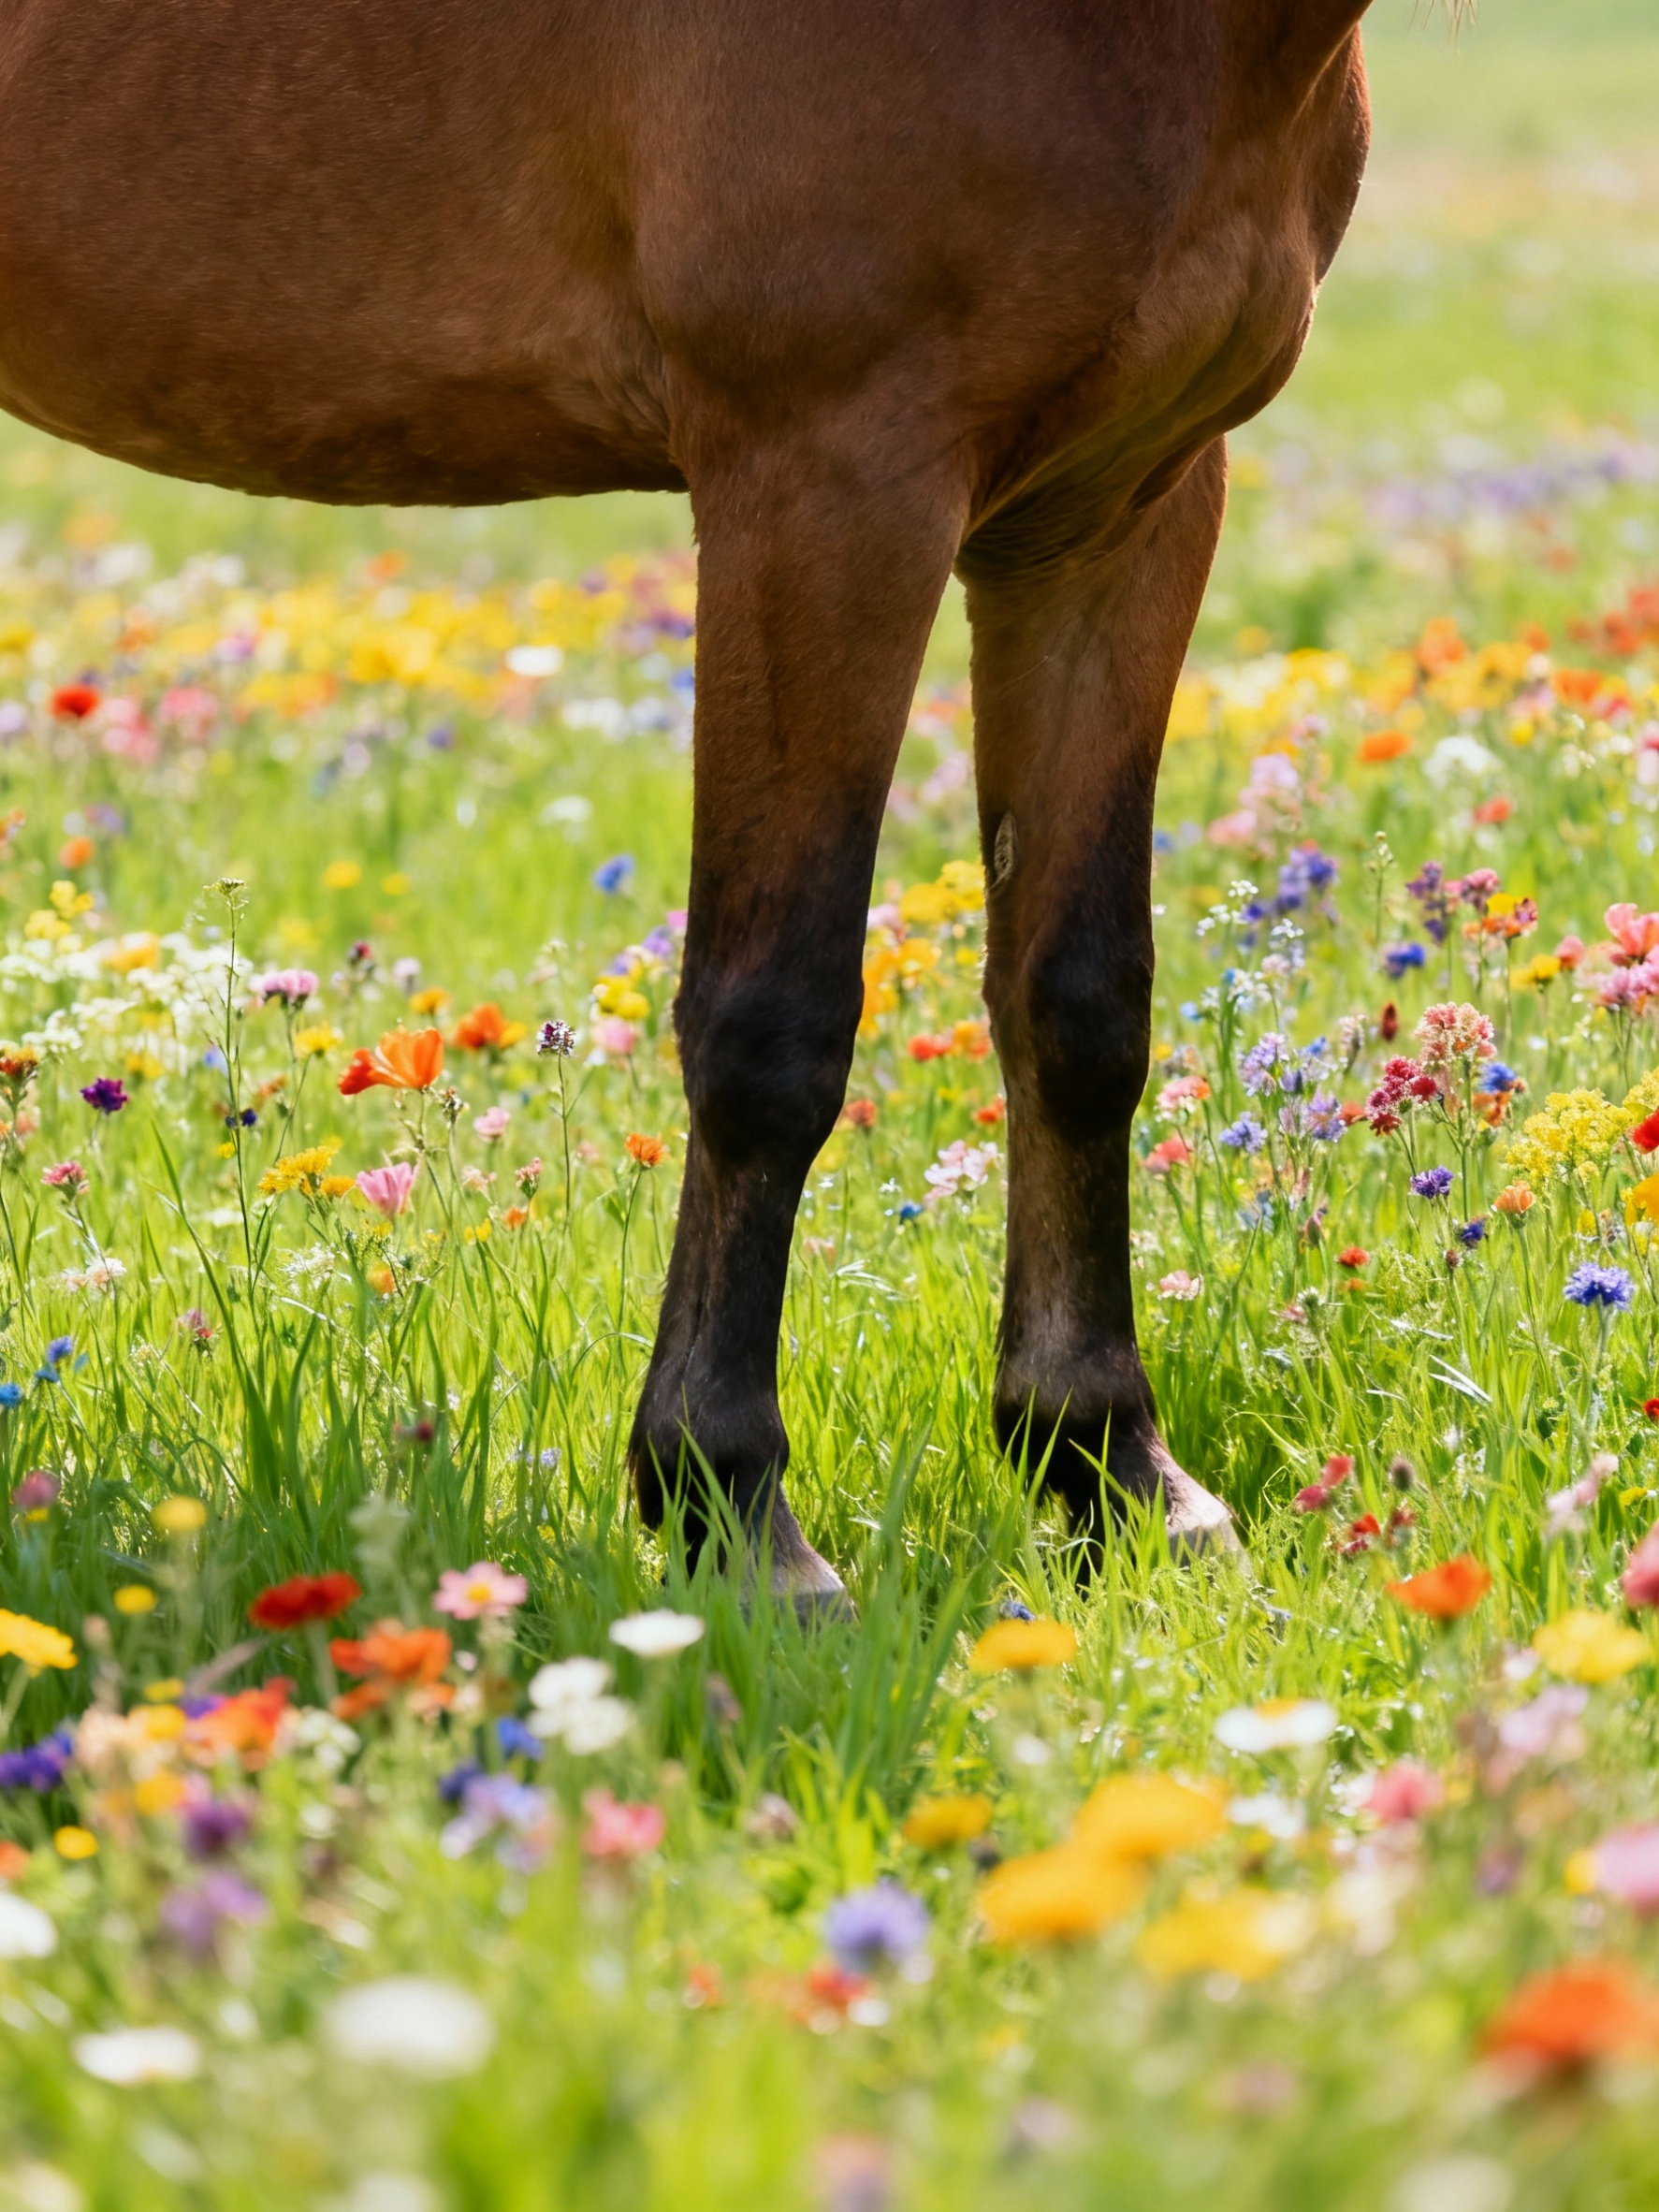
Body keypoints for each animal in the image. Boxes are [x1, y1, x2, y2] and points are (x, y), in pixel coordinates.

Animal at [0, 0, 1385, 1603]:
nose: (1110, 1463)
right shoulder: (829, 479)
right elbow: (769, 1027)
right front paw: (731, 1510)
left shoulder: (1118, 509)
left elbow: (1079, 1006)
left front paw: (1107, 1467)